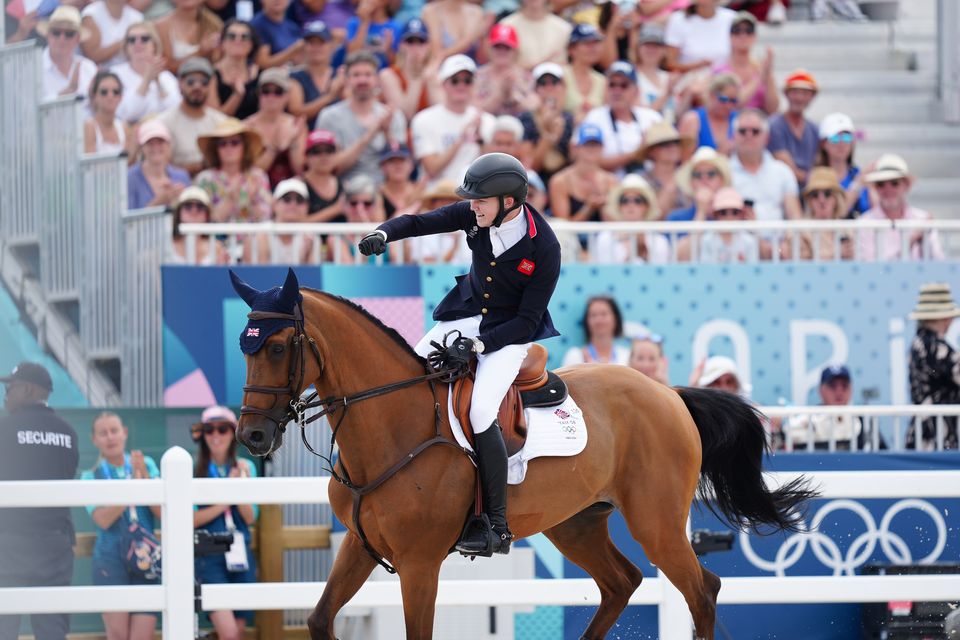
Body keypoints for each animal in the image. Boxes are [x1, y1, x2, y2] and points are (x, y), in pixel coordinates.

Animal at [229, 268, 812, 636]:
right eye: (244, 345)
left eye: (277, 347)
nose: (252, 438)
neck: (391, 423)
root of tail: (668, 393)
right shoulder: (359, 544)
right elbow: (319, 618)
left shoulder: (419, 563)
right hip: (577, 522)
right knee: (621, 584)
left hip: (657, 522)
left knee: (701, 590)